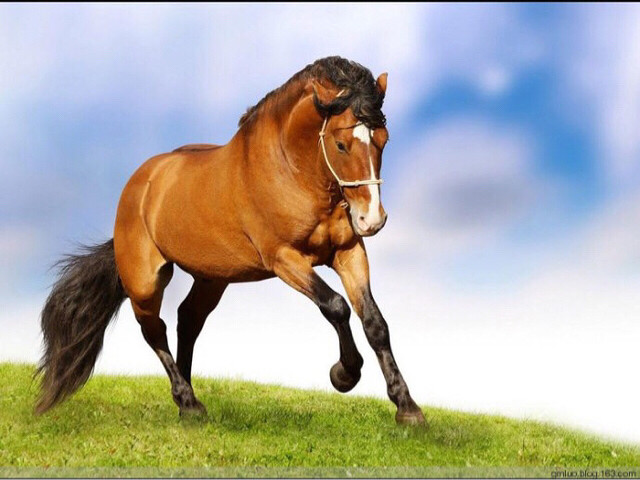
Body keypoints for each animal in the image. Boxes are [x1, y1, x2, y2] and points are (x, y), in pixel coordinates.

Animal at [36, 56, 425, 426]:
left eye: (383, 140)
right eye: (342, 144)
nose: (371, 219)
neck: (292, 171)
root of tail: (140, 184)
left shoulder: (348, 252)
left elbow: (375, 322)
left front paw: (407, 409)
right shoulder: (284, 259)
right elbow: (336, 306)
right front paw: (344, 374)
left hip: (212, 277)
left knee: (188, 321)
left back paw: (187, 401)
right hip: (145, 281)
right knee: (154, 330)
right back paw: (188, 403)